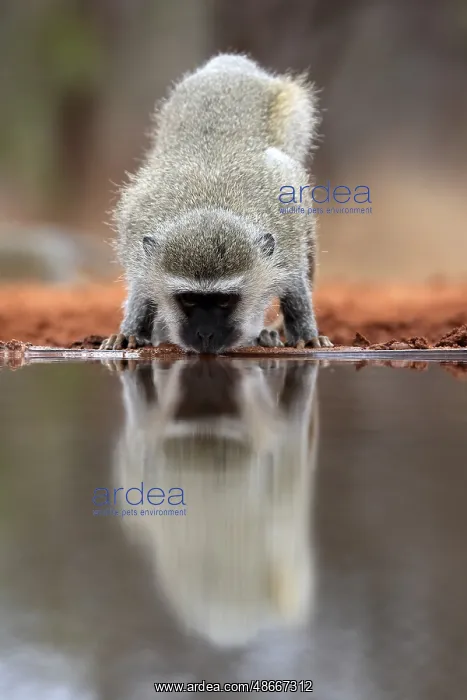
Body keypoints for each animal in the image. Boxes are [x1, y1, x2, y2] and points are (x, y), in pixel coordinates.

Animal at [101, 53, 332, 353]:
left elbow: (294, 282)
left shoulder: (288, 228)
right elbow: (141, 285)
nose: (205, 335)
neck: (209, 203)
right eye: (188, 299)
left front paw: (304, 332)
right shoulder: (136, 232)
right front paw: (132, 330)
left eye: (224, 300)